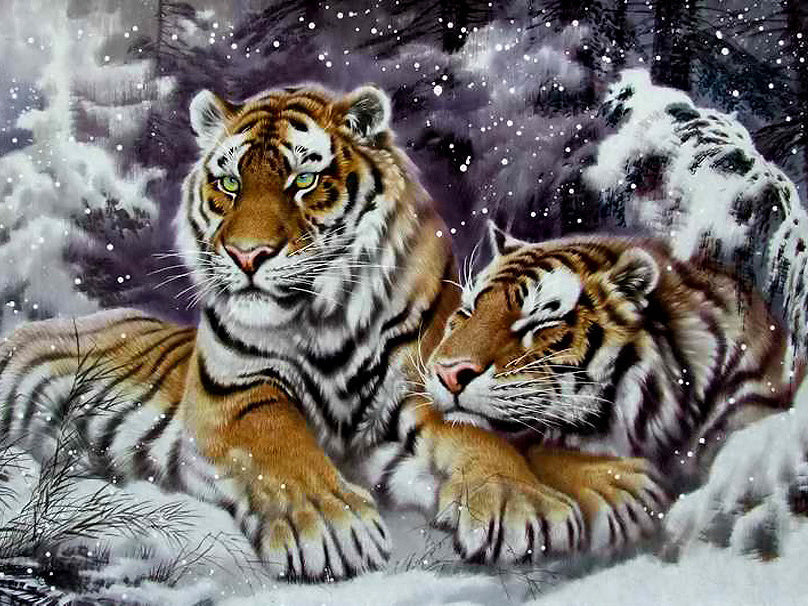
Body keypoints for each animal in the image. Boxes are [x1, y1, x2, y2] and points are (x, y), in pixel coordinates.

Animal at [0, 84, 664, 581]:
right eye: (230, 184)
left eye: (302, 181)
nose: (247, 255)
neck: (324, 317)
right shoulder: (235, 394)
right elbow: (281, 448)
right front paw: (328, 525)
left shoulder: (426, 386)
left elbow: (486, 438)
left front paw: (531, 498)